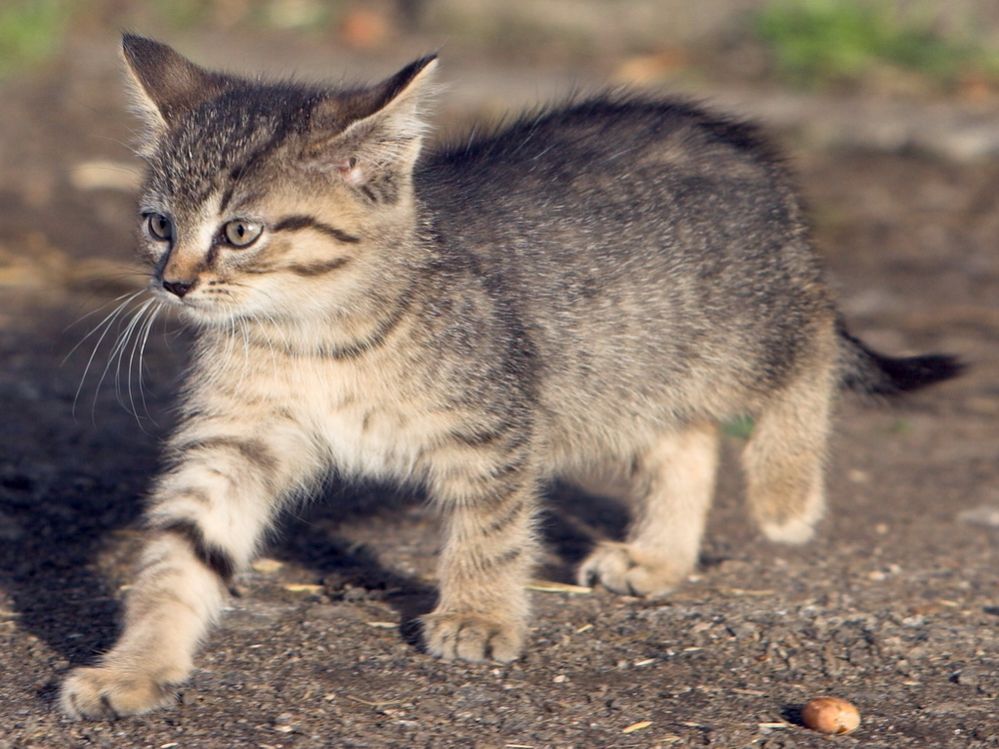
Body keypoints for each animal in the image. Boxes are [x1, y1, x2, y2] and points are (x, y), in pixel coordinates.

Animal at [56, 36, 960, 720]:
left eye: (240, 232)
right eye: (157, 224)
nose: (172, 282)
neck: (312, 334)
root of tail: (740, 145)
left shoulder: (491, 424)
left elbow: (488, 530)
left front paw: (478, 612)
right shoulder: (232, 445)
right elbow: (180, 553)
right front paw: (132, 665)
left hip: (742, 324)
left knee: (808, 349)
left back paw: (784, 493)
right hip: (630, 361)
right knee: (687, 439)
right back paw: (658, 555)